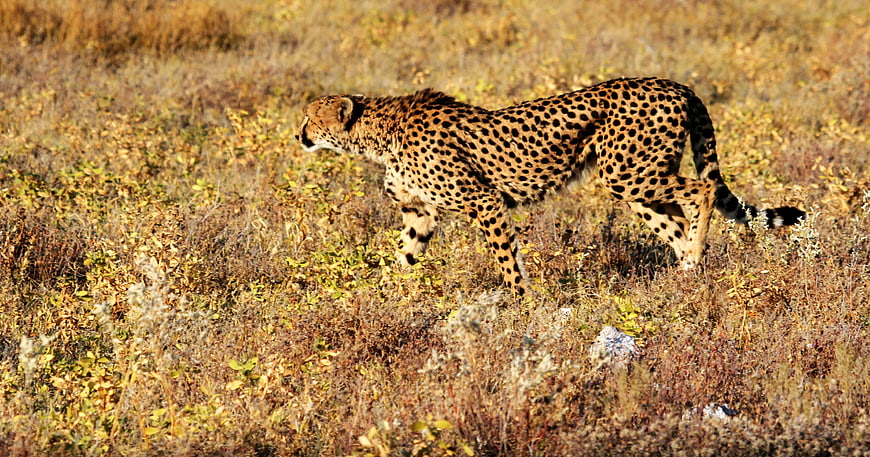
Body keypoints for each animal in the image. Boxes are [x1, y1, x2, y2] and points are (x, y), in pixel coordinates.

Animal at [296, 77, 805, 296]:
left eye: (310, 118)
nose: (298, 135)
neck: (379, 134)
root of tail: (674, 83)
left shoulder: (484, 201)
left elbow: (506, 261)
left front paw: (522, 305)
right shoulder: (419, 213)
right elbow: (403, 256)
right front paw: (376, 297)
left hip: (630, 171)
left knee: (700, 192)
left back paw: (696, 260)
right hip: (631, 183)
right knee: (676, 221)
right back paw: (685, 275)